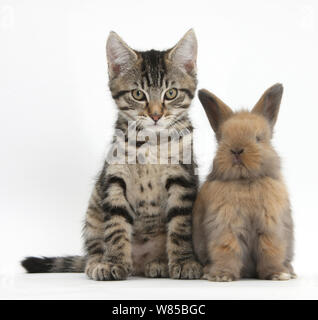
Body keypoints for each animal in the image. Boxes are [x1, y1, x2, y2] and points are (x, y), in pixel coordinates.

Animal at [22, 30, 202, 280]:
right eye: (138, 94)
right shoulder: (115, 177)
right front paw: (113, 262)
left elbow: (180, 224)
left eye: (171, 93)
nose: (156, 115)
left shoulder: (183, 177)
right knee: (95, 245)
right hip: (93, 210)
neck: (150, 142)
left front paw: (184, 262)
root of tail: (139, 263)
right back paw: (97, 262)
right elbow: (116, 226)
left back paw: (159, 263)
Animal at [194, 84, 296, 282]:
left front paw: (277, 274)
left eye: (258, 138)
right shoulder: (225, 226)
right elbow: (226, 249)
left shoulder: (270, 227)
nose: (236, 150)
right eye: (222, 138)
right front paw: (222, 276)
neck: (245, 181)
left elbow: (271, 250)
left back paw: (289, 271)